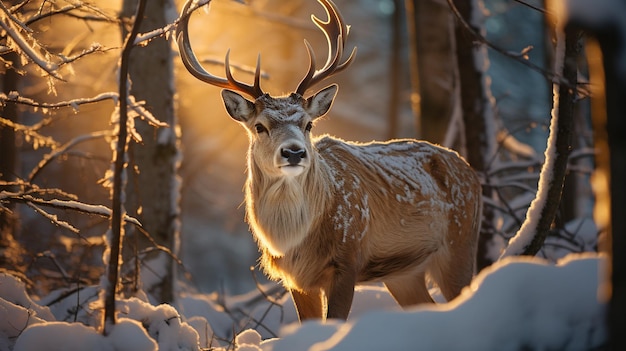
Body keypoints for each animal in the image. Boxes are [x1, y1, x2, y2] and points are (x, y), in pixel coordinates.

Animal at [177, 0, 482, 322]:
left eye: (308, 124)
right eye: (260, 126)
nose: (294, 152)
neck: (296, 241)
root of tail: (470, 171)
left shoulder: (347, 260)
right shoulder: (296, 279)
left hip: (460, 244)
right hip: (404, 274)